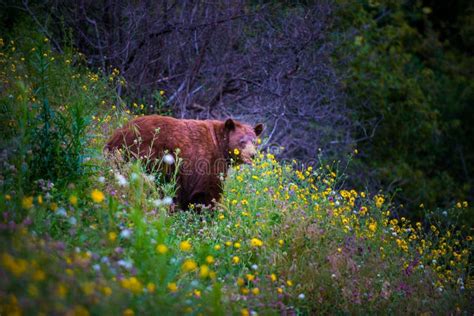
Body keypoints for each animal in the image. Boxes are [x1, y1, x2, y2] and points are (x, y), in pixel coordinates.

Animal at [104, 115, 262, 209]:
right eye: (242, 141)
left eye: (254, 141)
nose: (253, 155)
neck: (220, 144)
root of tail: (117, 135)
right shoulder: (208, 161)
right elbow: (208, 192)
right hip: (150, 156)